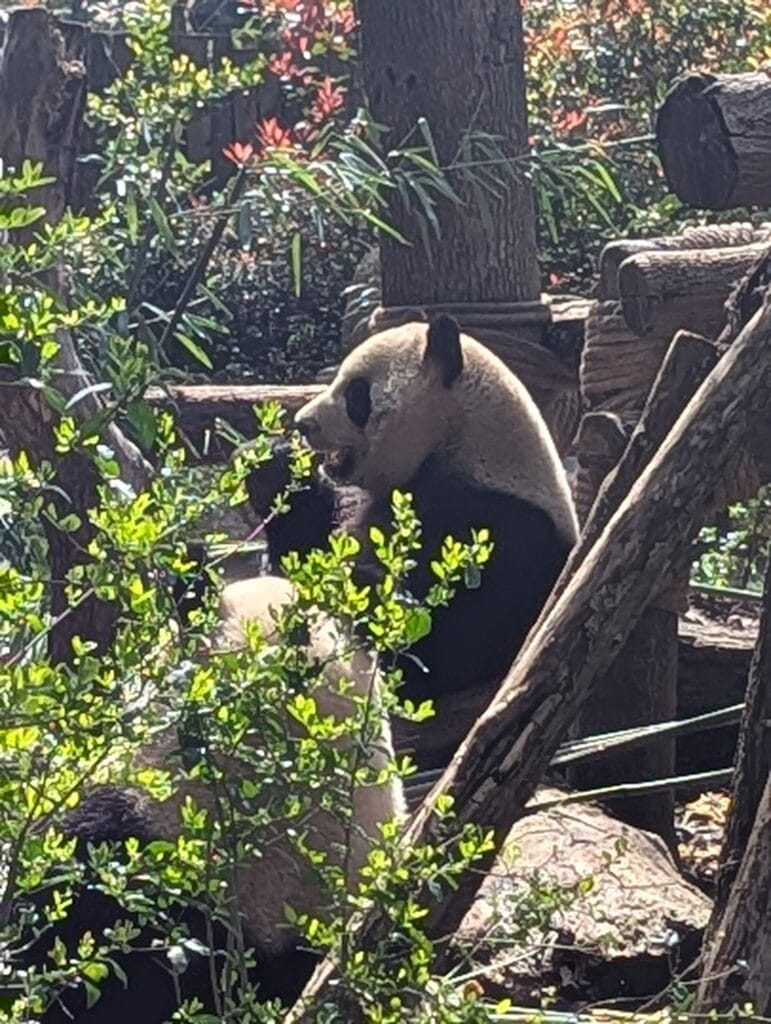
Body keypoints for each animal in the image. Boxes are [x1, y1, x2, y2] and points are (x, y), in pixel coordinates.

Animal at [249, 315, 578, 762]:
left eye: (355, 393)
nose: (303, 423)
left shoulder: (506, 531)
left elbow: (440, 649)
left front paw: (365, 586)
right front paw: (273, 467)